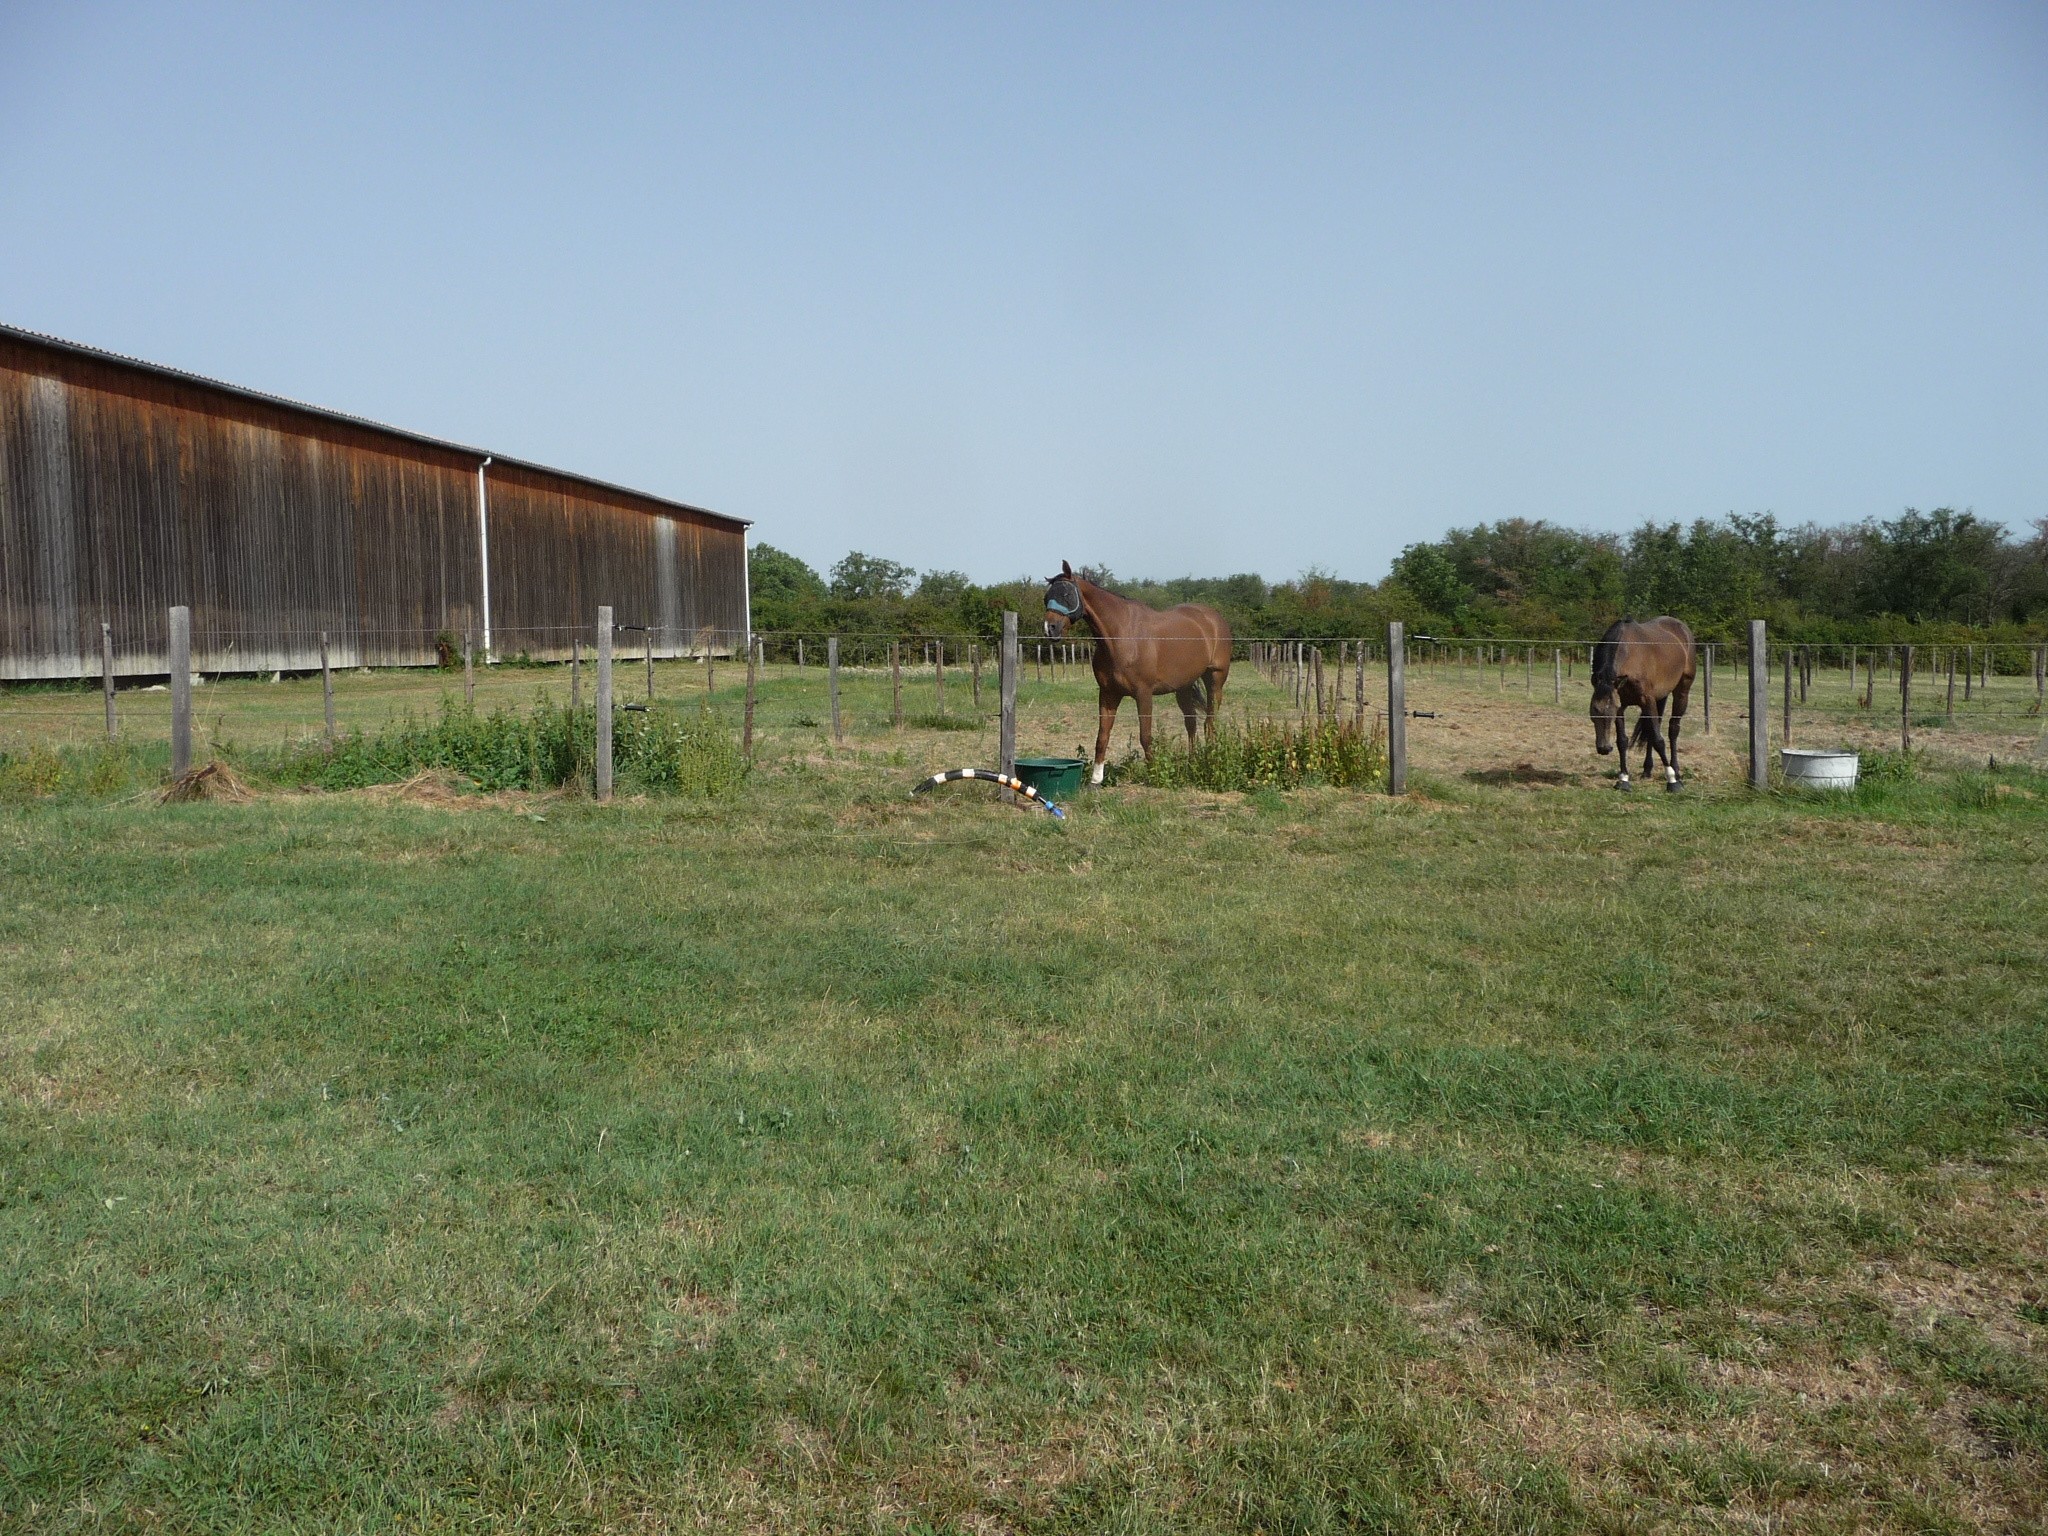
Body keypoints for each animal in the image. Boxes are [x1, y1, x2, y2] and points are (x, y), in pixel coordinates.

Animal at [1040, 561, 1228, 782]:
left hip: (1215, 679)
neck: (1122, 636)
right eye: (1046, 598)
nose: (1050, 628)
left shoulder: (1143, 694)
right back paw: (1192, 764)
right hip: (1183, 686)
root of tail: (1213, 618)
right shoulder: (1108, 694)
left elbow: (1145, 736)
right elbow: (1102, 737)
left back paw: (1211, 760)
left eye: (1066, 594)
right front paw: (1096, 780)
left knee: (1210, 722)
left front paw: (1154, 773)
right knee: (1191, 723)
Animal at [1589, 618, 1703, 794]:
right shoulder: (1621, 706)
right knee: (1652, 729)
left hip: (1682, 692)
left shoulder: (1647, 701)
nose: (1604, 748)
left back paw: (1676, 771)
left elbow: (1658, 740)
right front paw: (1623, 779)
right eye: (1593, 712)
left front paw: (1672, 781)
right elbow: (1623, 741)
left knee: (1673, 729)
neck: (1630, 654)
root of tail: (1682, 628)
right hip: (1660, 697)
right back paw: (1647, 770)